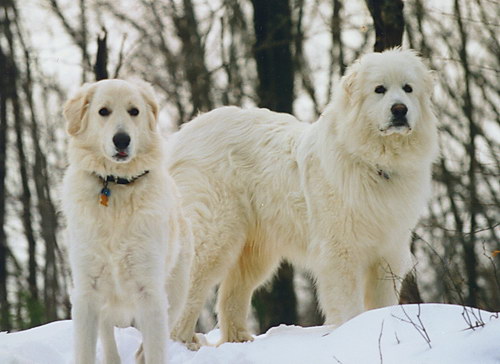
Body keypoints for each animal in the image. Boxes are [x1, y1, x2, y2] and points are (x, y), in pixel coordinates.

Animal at [61, 79, 193, 364]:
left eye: (134, 111)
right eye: (103, 111)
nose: (122, 139)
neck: (116, 187)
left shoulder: (150, 293)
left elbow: (154, 353)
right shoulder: (87, 292)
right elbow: (86, 352)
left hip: (175, 296)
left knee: (145, 347)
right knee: (109, 338)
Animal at [169, 48, 438, 346]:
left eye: (408, 88)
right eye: (380, 89)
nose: (399, 109)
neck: (374, 164)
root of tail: (186, 131)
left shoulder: (387, 253)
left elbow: (381, 303)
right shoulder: (341, 253)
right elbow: (348, 304)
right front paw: (351, 333)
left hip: (255, 252)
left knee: (231, 295)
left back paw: (239, 340)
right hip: (215, 235)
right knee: (189, 284)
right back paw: (181, 341)